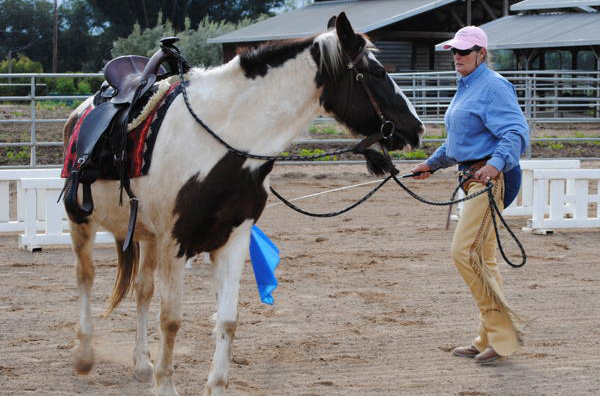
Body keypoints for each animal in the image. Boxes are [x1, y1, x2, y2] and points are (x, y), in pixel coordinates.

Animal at [64, 12, 422, 396]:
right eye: (378, 72)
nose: (416, 128)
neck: (221, 141)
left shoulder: (232, 239)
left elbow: (228, 319)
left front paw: (215, 385)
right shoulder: (176, 243)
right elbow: (171, 319)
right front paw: (166, 385)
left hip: (146, 236)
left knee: (142, 291)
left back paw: (142, 365)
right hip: (81, 221)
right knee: (85, 277)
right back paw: (84, 354)